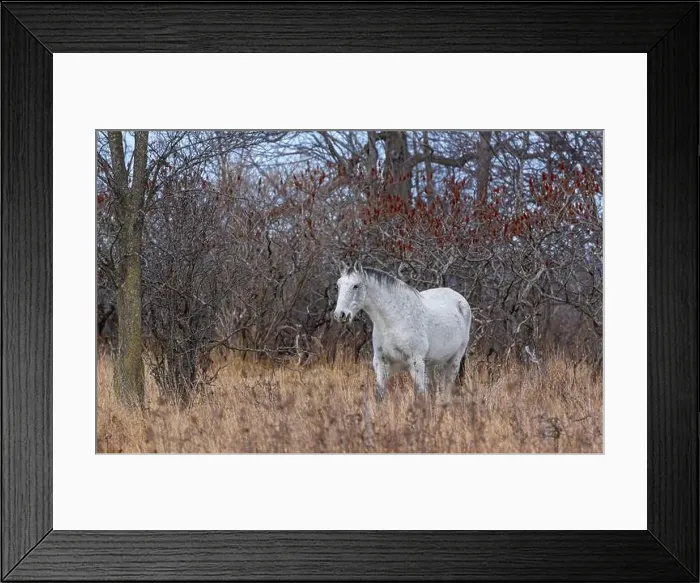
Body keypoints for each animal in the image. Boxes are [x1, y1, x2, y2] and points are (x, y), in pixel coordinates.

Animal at [333, 261, 472, 400]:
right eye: (338, 285)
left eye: (355, 286)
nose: (340, 314)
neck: (393, 321)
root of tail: (460, 299)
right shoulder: (381, 363)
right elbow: (380, 394)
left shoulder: (416, 363)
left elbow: (420, 396)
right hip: (430, 364)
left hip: (453, 361)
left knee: (446, 389)